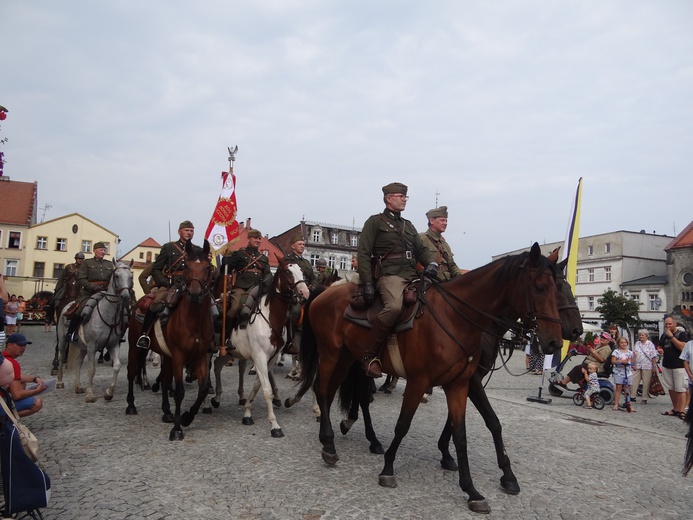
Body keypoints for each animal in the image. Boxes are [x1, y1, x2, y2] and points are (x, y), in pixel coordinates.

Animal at [56, 258, 133, 402]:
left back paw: (78, 386)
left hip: (83, 347)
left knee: (78, 362)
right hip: (63, 341)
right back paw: (59, 382)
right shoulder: (92, 346)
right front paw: (90, 395)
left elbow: (117, 366)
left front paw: (108, 393)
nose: (125, 296)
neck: (108, 314)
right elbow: (91, 370)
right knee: (61, 357)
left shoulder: (113, 344)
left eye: (131, 276)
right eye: (117, 275)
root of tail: (69, 304)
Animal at [124, 239, 215, 438]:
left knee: (165, 381)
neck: (194, 321)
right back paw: (131, 405)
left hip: (166, 355)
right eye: (187, 265)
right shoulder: (179, 356)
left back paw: (166, 412)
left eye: (207, 268)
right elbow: (180, 391)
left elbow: (203, 389)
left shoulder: (200, 356)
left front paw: (186, 417)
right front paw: (177, 429)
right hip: (135, 347)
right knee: (131, 372)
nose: (195, 293)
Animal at [211, 258, 308, 436]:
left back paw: (217, 397)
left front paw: (248, 412)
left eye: (301, 271)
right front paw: (274, 424)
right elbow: (266, 390)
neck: (270, 317)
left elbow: (258, 385)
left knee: (217, 365)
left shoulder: (270, 359)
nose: (305, 292)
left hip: (229, 352)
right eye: (288, 271)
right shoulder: (260, 357)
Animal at [296, 243, 564, 512]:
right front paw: (388, 468)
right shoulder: (419, 382)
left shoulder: (458, 385)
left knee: (333, 393)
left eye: (558, 289)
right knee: (322, 389)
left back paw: (337, 438)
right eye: (540, 287)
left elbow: (461, 435)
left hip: (347, 358)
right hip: (330, 354)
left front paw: (472, 490)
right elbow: (403, 425)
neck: (456, 319)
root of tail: (326, 292)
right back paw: (329, 443)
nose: (556, 342)